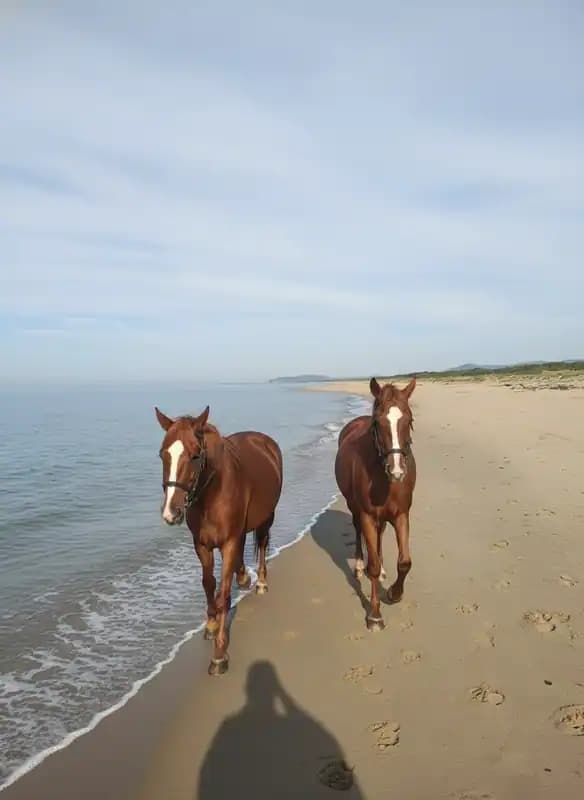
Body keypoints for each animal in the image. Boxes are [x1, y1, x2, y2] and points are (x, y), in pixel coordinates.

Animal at [155, 405, 283, 675]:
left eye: (195, 456)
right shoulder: (201, 544)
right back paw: (243, 576)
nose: (171, 513)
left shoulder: (229, 543)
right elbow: (208, 583)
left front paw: (219, 654)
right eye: (163, 455)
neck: (212, 493)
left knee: (262, 544)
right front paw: (212, 623)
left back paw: (260, 582)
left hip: (267, 517)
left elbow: (223, 593)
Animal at [335, 377, 416, 631]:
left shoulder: (401, 515)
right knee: (358, 531)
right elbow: (372, 565)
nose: (397, 470)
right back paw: (360, 565)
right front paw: (375, 615)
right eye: (378, 423)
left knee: (379, 538)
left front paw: (394, 593)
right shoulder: (367, 515)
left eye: (409, 420)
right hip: (354, 507)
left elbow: (405, 562)